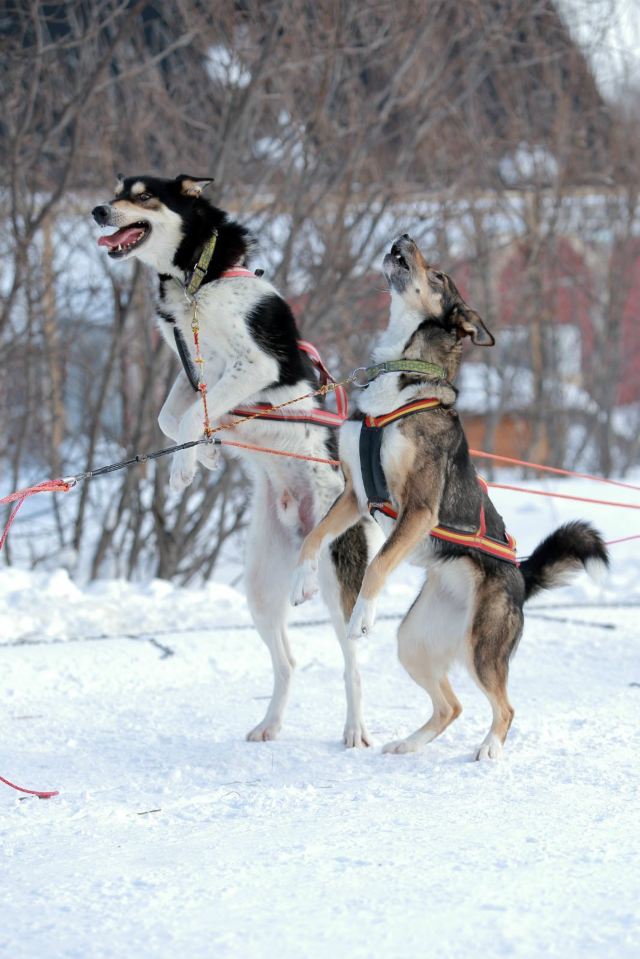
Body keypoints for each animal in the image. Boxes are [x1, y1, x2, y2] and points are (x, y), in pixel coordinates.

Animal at [92, 174, 382, 752]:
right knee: (287, 662)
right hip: (260, 588)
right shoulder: (192, 374)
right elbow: (170, 418)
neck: (198, 282)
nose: (96, 211)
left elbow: (189, 417)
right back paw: (269, 723)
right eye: (115, 190)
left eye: (142, 195)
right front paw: (201, 452)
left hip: (338, 578)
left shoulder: (255, 366)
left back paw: (354, 727)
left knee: (352, 663)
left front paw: (187, 463)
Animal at [292, 232, 608, 756]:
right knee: (451, 706)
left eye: (439, 275)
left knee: (505, 707)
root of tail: (521, 577)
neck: (403, 377)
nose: (403, 235)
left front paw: (360, 616)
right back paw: (409, 743)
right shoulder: (354, 497)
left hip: (482, 648)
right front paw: (302, 582)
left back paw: (490, 748)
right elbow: (311, 539)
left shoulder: (418, 509)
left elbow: (378, 566)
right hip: (414, 641)